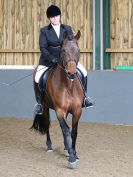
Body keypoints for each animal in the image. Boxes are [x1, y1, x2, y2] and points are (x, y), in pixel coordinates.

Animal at [30, 30, 83, 169]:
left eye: (78, 50)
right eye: (63, 50)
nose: (71, 74)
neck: (69, 86)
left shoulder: (77, 111)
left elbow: (73, 131)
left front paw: (74, 153)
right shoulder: (60, 110)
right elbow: (66, 130)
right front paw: (72, 159)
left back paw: (66, 148)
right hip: (45, 108)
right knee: (47, 124)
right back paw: (49, 146)